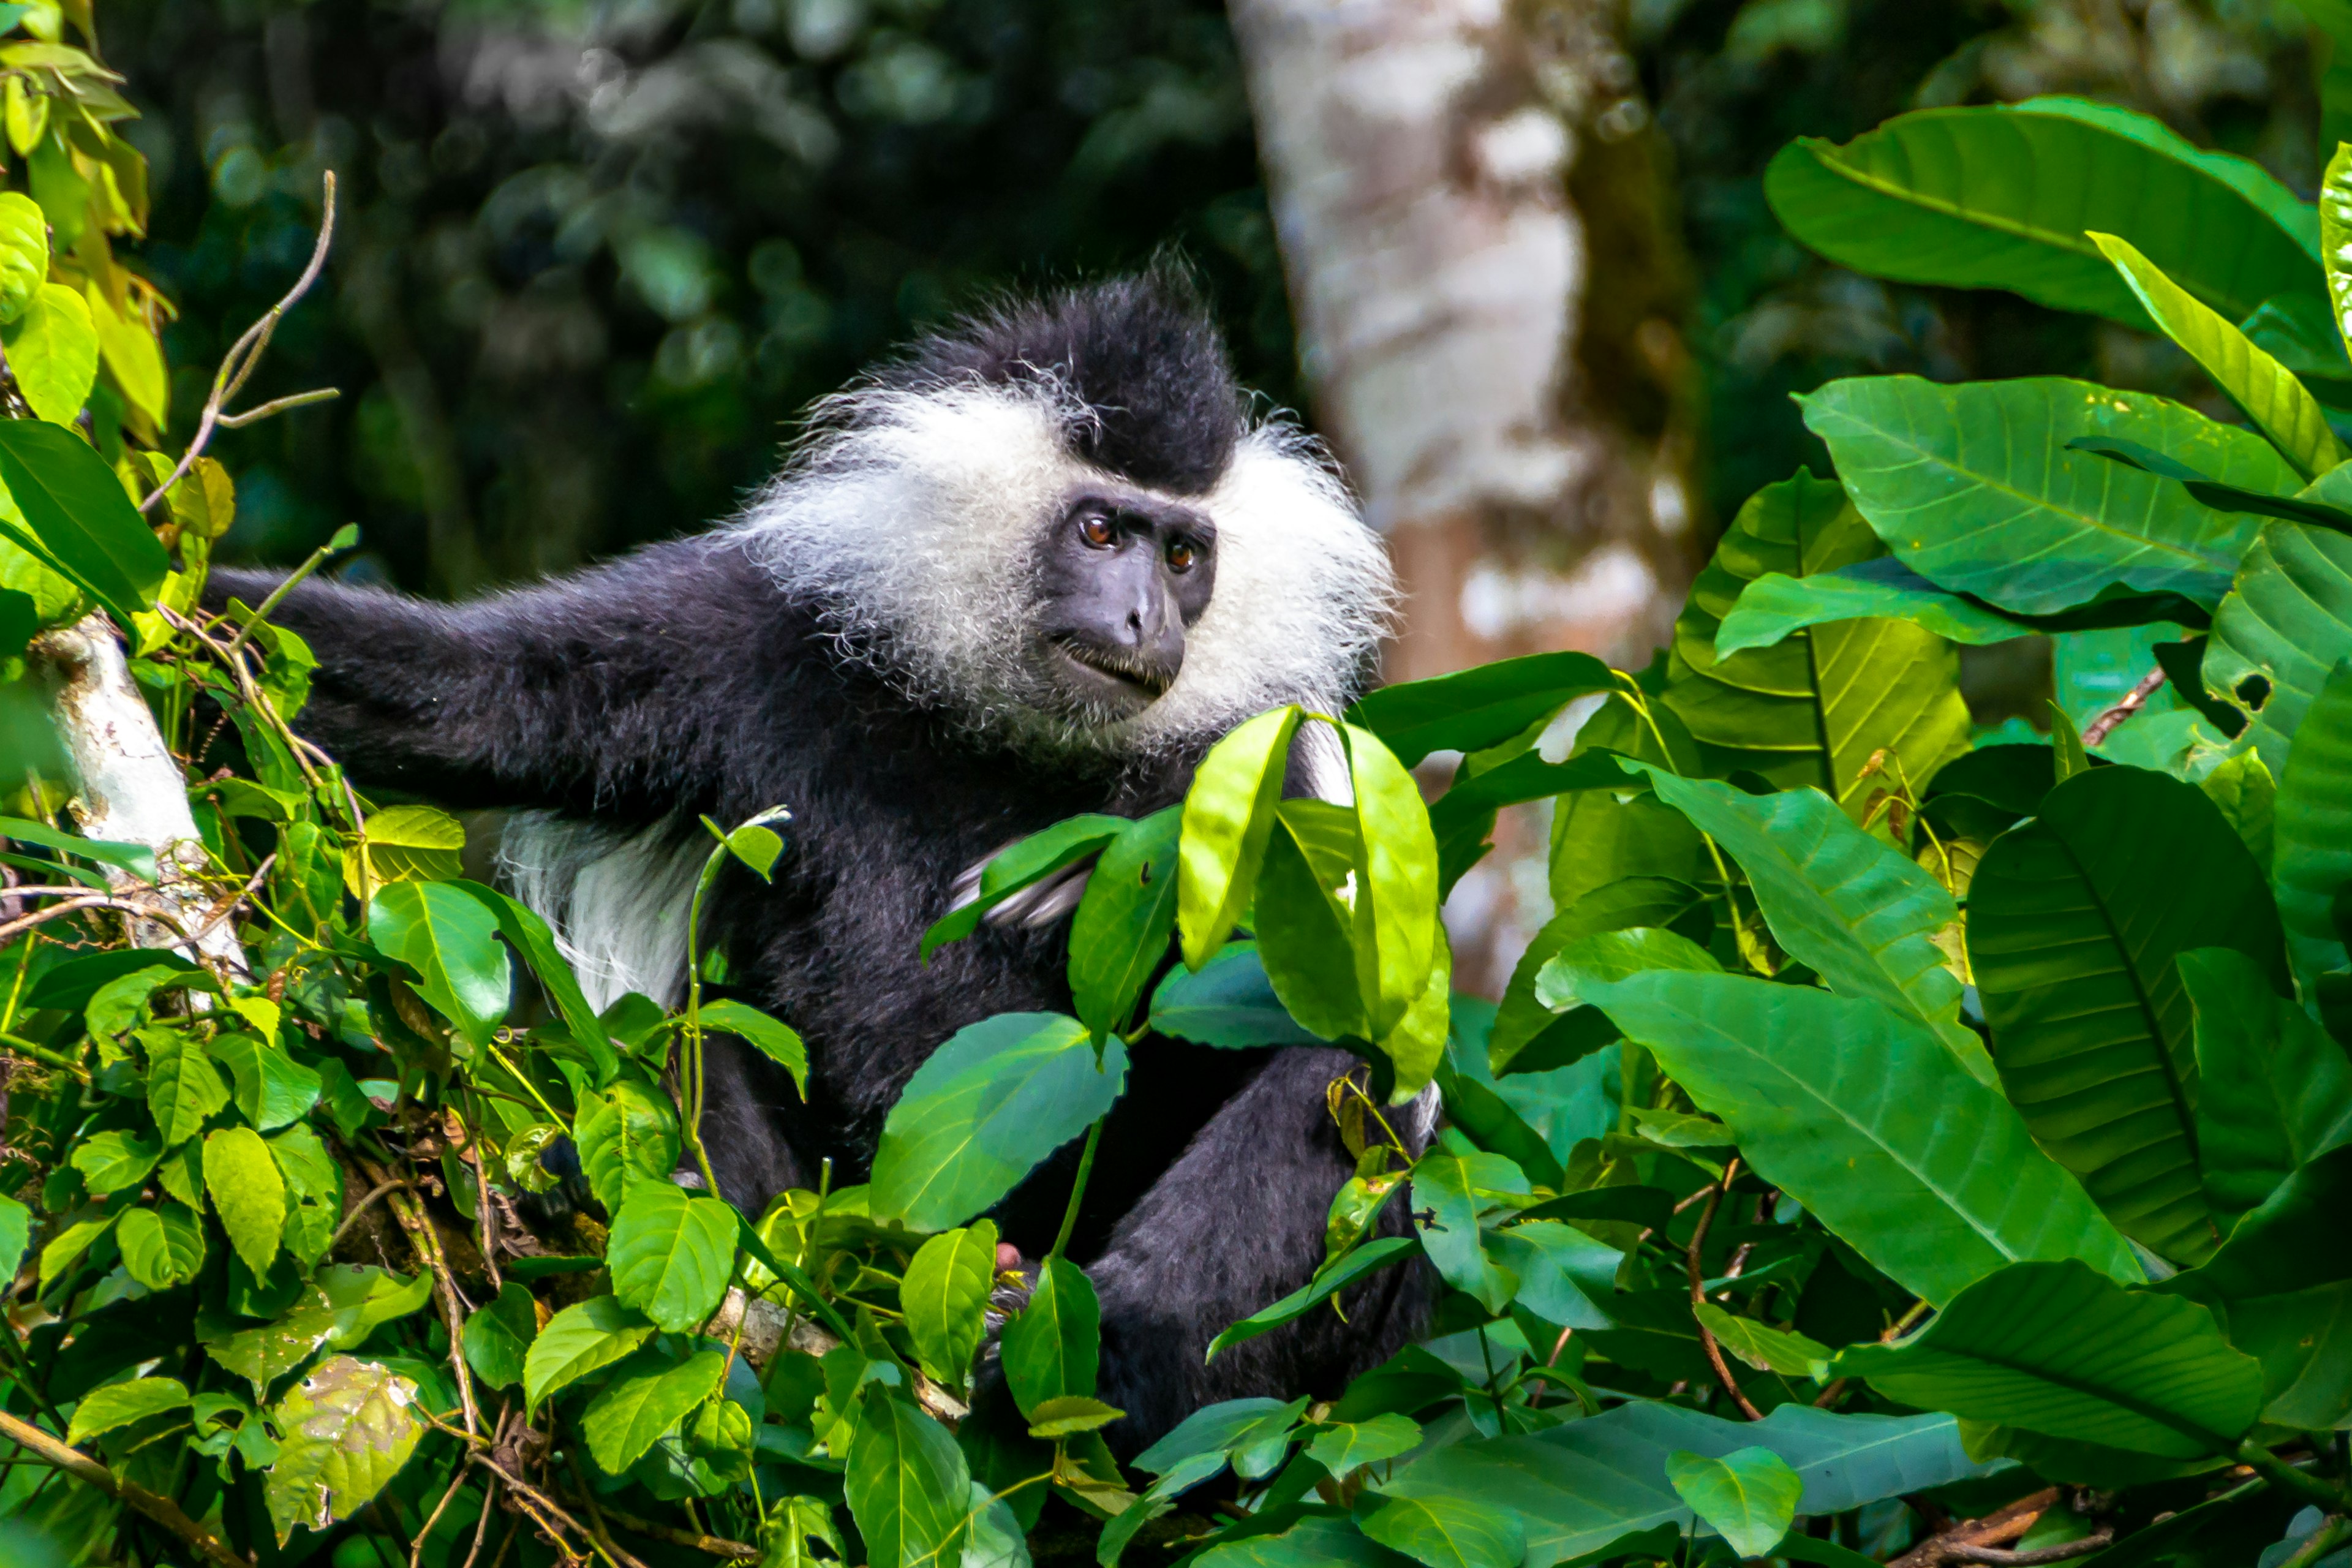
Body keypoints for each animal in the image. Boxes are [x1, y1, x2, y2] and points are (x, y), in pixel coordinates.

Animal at [221, 273, 1420, 1448]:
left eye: (1182, 556)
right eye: (1099, 533)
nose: (1144, 618)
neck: (1013, 738)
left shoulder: (1261, 745)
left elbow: (1351, 989)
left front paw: (1134, 855)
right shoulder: (745, 634)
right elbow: (475, 699)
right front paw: (190, 614)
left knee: (1335, 1074)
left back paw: (1113, 1361)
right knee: (698, 1037)